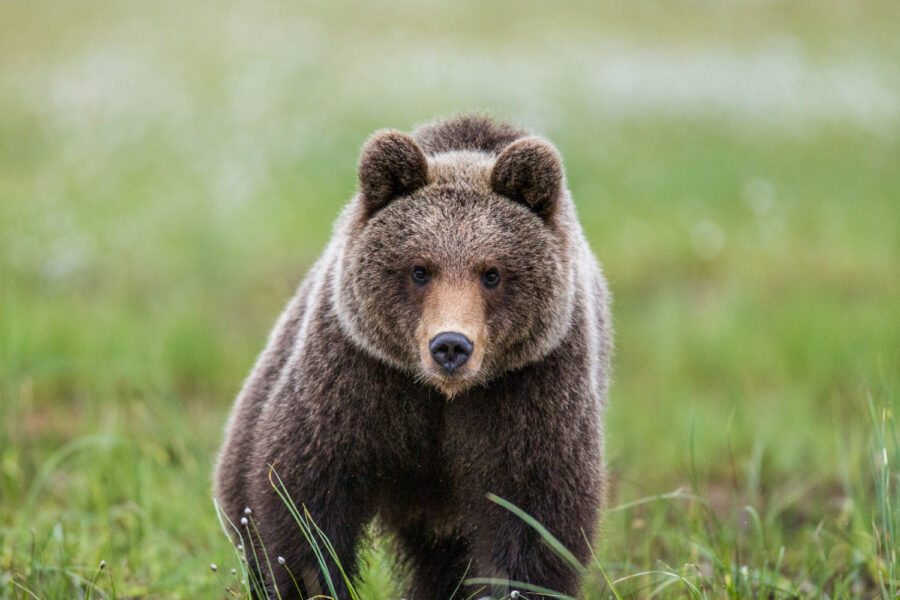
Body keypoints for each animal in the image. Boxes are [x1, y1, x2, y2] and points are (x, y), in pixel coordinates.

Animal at [214, 114, 613, 599]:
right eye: (420, 269)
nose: (451, 346)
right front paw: (312, 580)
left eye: (492, 273)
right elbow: (303, 503)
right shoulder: (357, 381)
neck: (443, 396)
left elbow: (533, 524)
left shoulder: (529, 393)